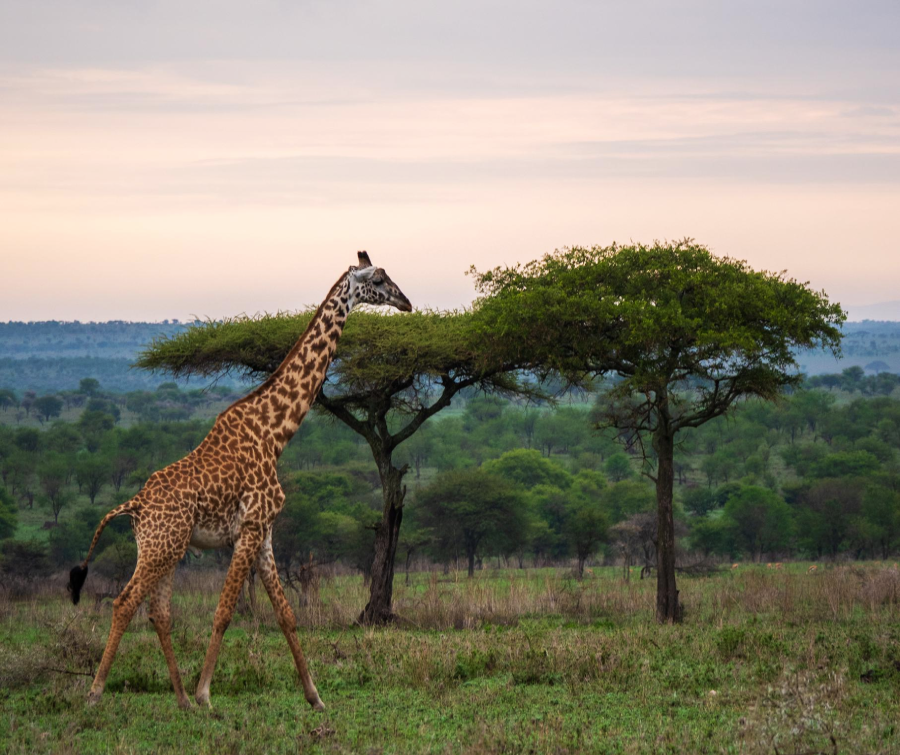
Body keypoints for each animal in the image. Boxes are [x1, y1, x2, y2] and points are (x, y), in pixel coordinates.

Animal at [67, 251, 411, 711]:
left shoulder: (264, 532)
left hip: (165, 548)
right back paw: (97, 692)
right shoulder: (249, 528)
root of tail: (134, 506)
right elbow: (225, 610)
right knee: (124, 603)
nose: (406, 302)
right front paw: (207, 694)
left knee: (159, 611)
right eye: (378, 279)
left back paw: (180, 700)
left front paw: (315, 696)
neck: (275, 433)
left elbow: (286, 614)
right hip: (161, 548)